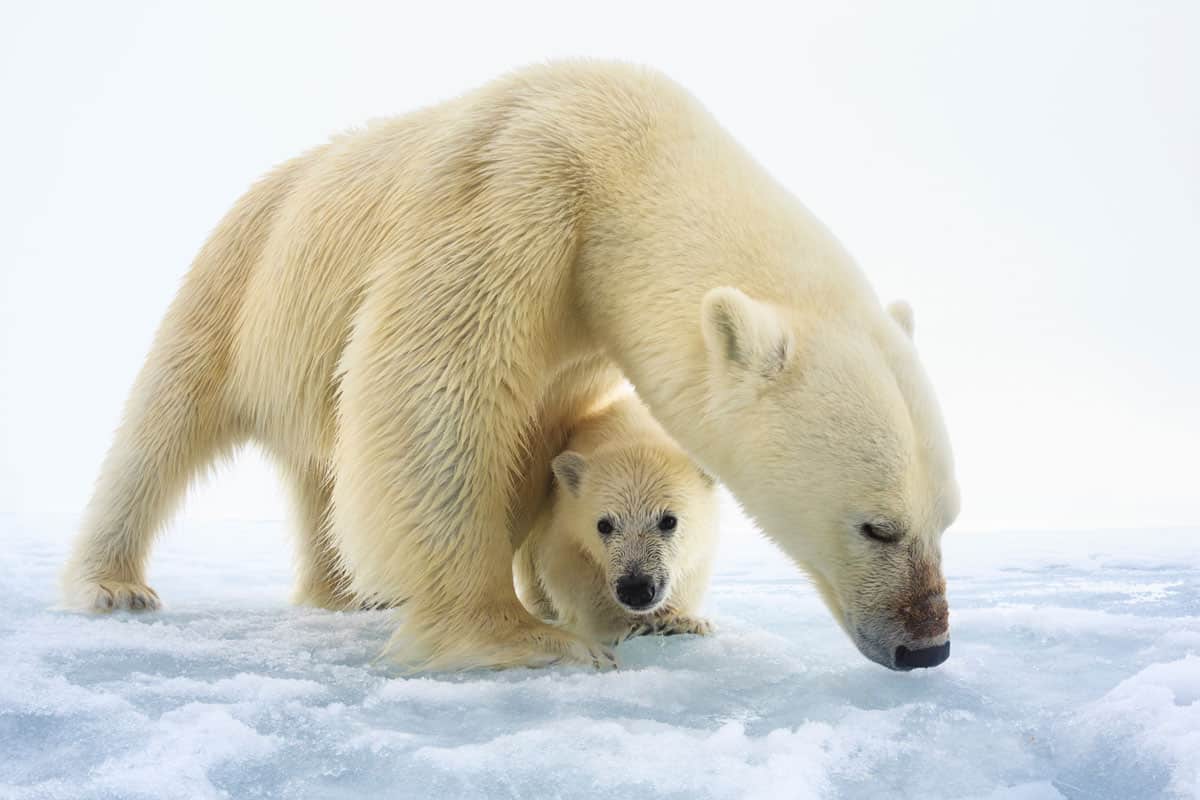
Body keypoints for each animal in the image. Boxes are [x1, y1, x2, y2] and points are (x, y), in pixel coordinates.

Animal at [70, 62, 960, 671]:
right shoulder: (514, 196)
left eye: (946, 519)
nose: (927, 647)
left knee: (318, 468)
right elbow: (428, 397)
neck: (626, 157)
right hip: (240, 280)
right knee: (163, 423)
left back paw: (346, 591)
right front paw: (519, 635)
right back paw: (113, 585)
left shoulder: (578, 335)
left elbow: (531, 449)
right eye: (877, 525)